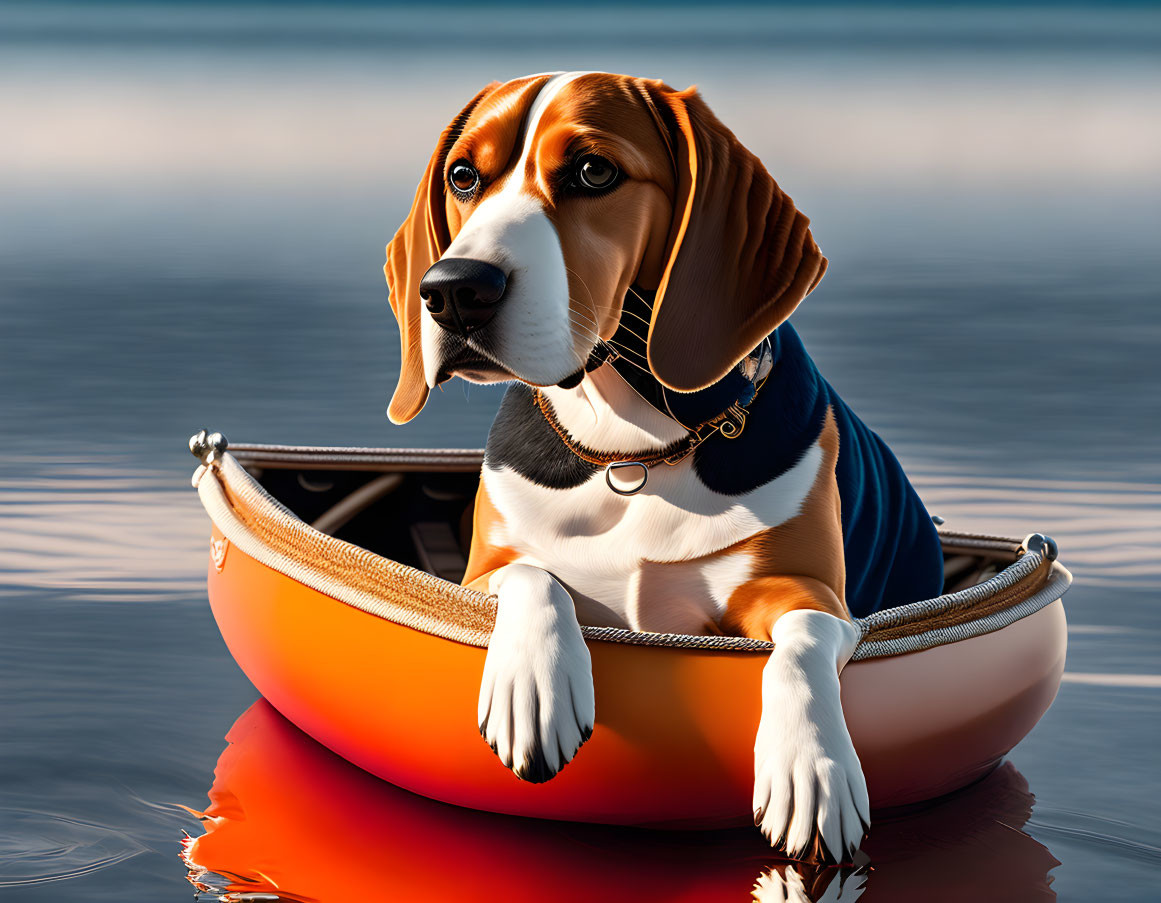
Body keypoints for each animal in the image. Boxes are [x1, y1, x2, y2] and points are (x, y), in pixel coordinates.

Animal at [385, 70, 947, 858]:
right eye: (463, 176)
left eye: (594, 171)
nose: (454, 290)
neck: (633, 451)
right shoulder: (479, 573)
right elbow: (534, 575)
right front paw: (532, 685)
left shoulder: (807, 591)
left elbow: (803, 645)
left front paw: (811, 767)